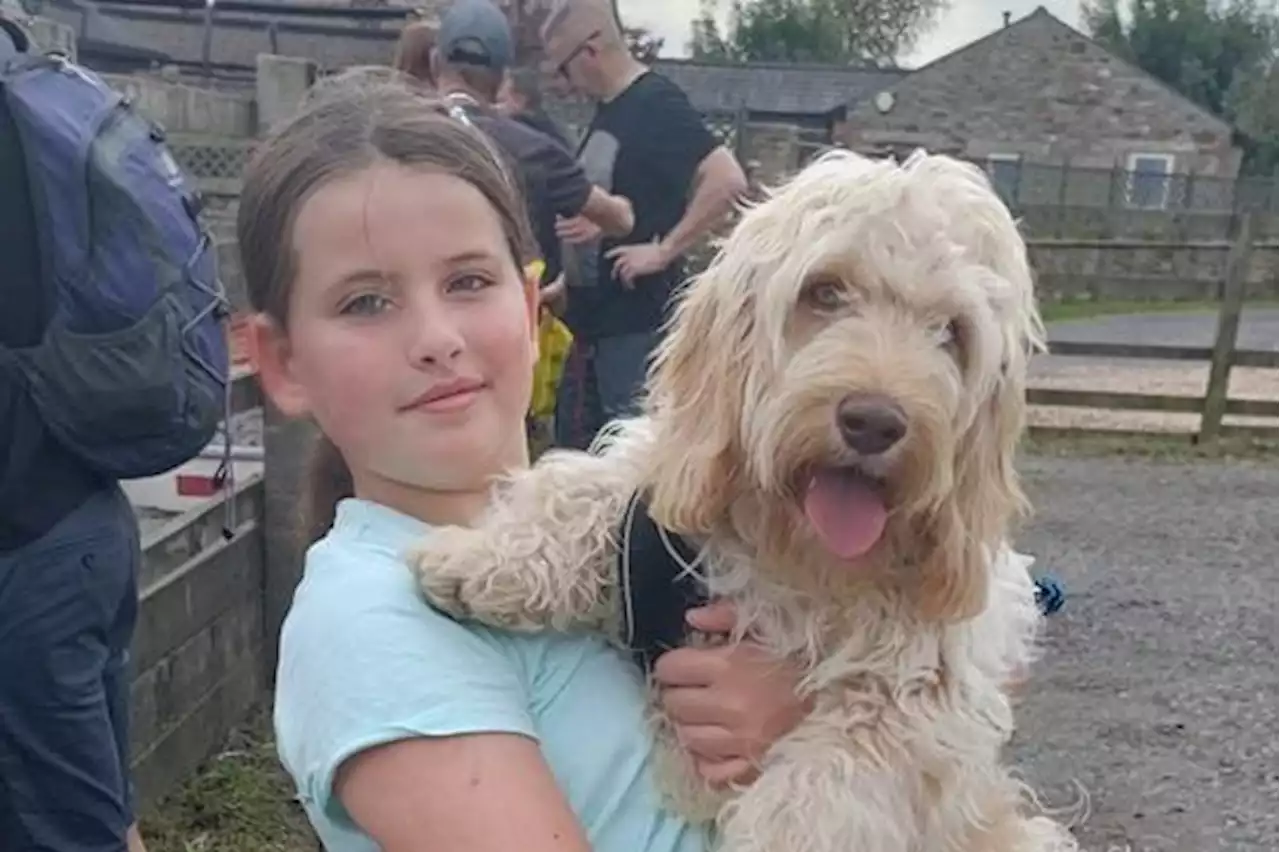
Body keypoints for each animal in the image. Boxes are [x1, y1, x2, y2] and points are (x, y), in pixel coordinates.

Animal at [412, 149, 1080, 849]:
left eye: (951, 331)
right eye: (824, 291)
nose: (874, 422)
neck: (795, 554)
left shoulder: (928, 685)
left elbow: (835, 771)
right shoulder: (662, 497)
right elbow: (589, 488)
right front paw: (483, 558)